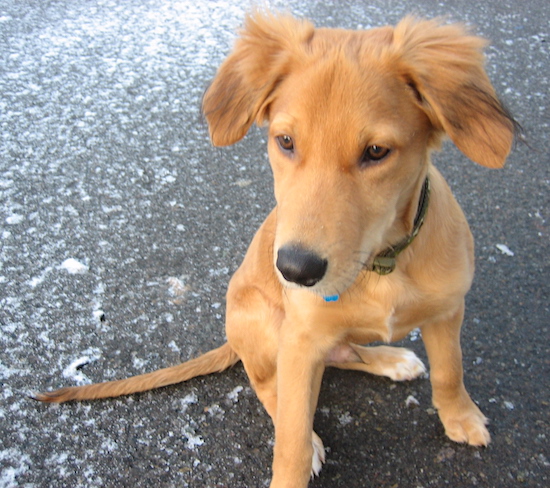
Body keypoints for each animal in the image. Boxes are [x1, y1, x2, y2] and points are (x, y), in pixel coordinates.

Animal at [36, 11, 520, 488]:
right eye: (285, 142)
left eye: (377, 151)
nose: (295, 270)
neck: (383, 265)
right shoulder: (301, 341)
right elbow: (290, 442)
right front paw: (299, 456)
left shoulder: (448, 310)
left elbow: (451, 371)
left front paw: (460, 417)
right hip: (265, 320)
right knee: (270, 386)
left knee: (348, 354)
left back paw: (390, 359)